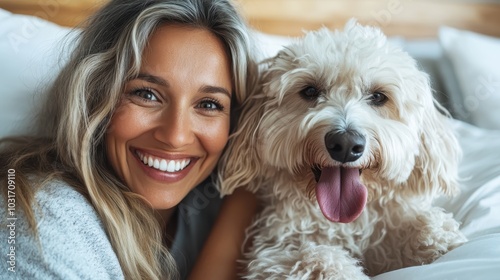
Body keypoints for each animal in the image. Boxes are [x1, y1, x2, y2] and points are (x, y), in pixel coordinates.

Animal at [217, 20, 466, 280]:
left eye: (378, 96)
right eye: (310, 91)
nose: (346, 145)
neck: (344, 222)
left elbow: (414, 227)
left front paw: (435, 238)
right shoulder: (274, 251)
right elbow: (316, 258)